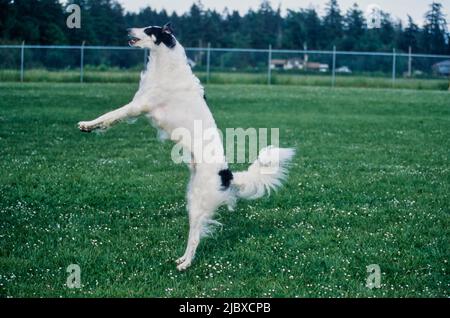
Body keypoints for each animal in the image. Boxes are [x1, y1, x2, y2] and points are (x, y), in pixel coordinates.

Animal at [77, 23, 296, 270]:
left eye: (148, 29)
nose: (127, 29)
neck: (166, 65)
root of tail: (227, 174)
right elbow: (108, 119)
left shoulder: (137, 107)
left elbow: (108, 115)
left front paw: (86, 125)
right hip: (191, 200)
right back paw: (181, 259)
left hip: (199, 205)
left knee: (195, 238)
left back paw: (185, 264)